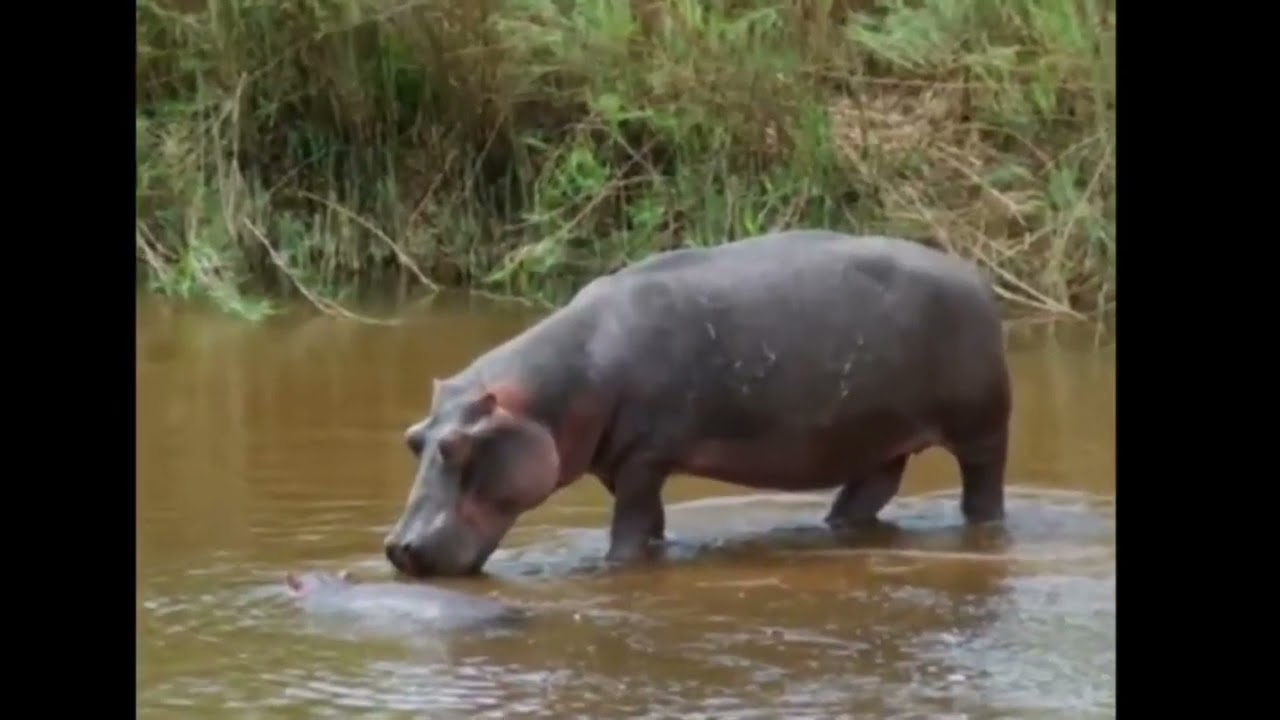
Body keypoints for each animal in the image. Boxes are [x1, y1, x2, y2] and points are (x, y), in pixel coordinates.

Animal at [384, 230, 1011, 577]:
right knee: (868, 492)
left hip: (980, 429)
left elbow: (630, 531)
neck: (550, 396)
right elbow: (652, 525)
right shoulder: (622, 463)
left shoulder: (645, 458)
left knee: (982, 492)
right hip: (874, 437)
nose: (397, 548)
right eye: (414, 439)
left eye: (457, 447)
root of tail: (980, 279)